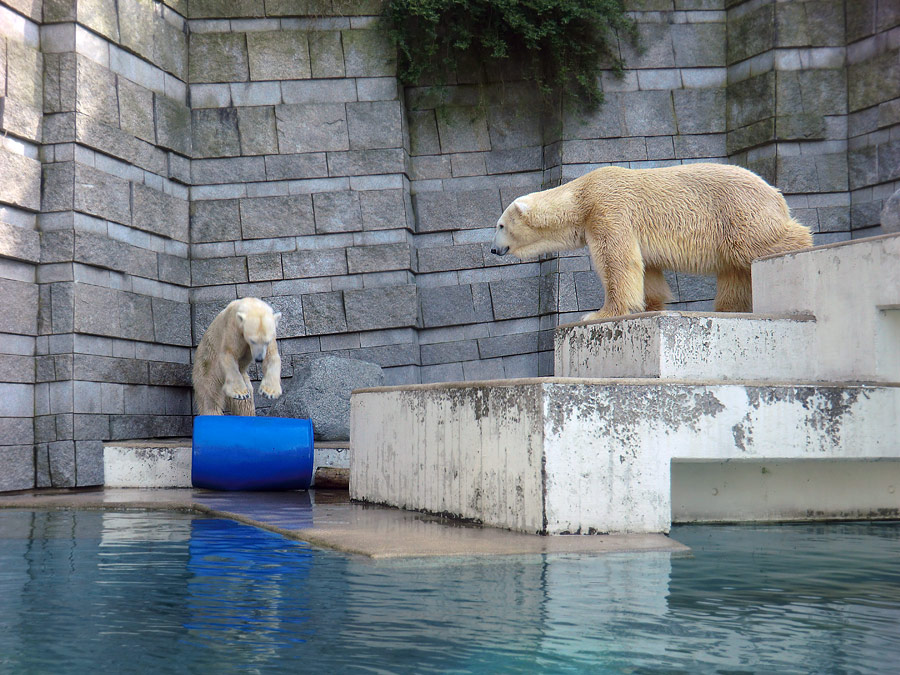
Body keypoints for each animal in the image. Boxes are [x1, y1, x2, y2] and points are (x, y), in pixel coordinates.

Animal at [488, 164, 812, 322]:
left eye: (500, 225)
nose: (493, 249)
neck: (582, 196)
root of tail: (774, 192)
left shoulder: (608, 209)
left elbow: (616, 261)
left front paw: (599, 312)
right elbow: (648, 267)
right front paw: (651, 305)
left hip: (736, 211)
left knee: (756, 243)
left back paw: (803, 245)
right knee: (734, 271)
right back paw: (727, 309)